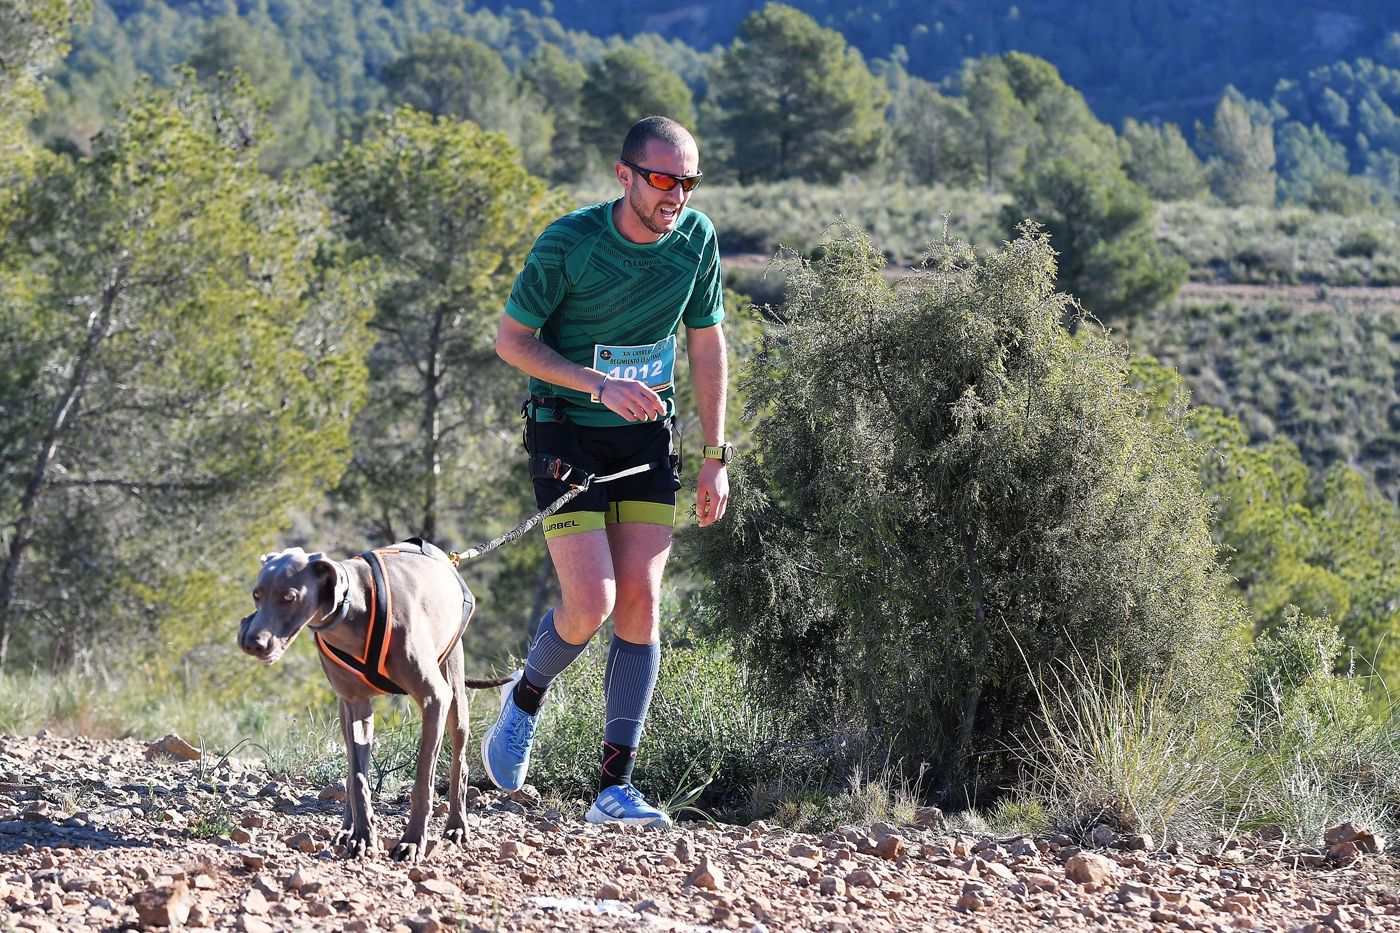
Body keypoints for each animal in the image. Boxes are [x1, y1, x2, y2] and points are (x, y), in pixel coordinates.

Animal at [240, 537, 515, 857]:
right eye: (256, 595)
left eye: (288, 597)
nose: (252, 643)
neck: (354, 610)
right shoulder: (356, 705)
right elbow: (358, 778)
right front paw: (362, 835)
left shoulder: (434, 699)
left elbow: (423, 780)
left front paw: (412, 841)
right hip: (346, 711)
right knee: (351, 770)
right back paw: (348, 829)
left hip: (455, 694)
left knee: (460, 761)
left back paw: (456, 826)